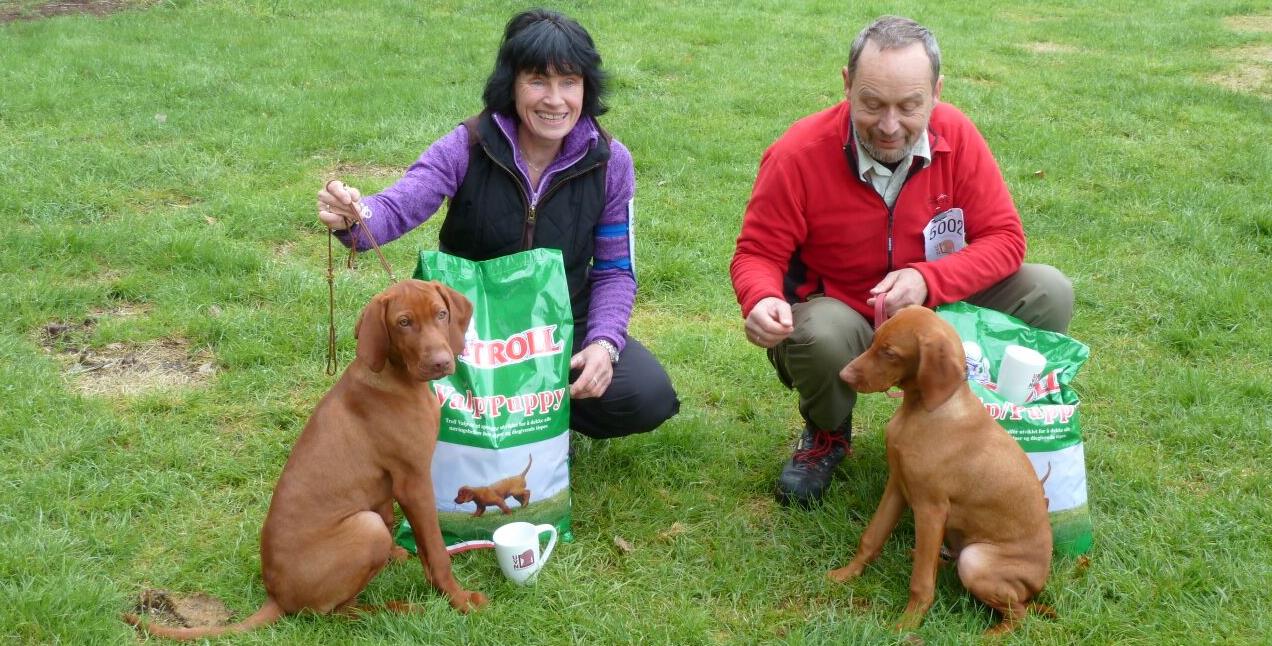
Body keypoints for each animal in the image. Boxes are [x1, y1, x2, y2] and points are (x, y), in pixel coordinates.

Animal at [124, 279, 483, 638]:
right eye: (404, 322)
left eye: (441, 314)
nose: (441, 363)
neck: (395, 377)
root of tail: (277, 596)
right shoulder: (413, 479)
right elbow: (436, 550)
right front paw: (458, 598)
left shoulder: (389, 485)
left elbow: (404, 529)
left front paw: (403, 559)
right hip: (366, 529)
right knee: (335, 612)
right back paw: (400, 610)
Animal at [824, 305, 1053, 633]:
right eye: (874, 340)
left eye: (890, 352)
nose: (843, 376)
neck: (926, 411)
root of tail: (1037, 587)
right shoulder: (897, 486)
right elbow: (871, 537)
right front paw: (847, 574)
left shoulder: (930, 508)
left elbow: (920, 582)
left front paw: (907, 625)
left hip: (976, 561)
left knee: (1018, 613)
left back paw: (990, 635)